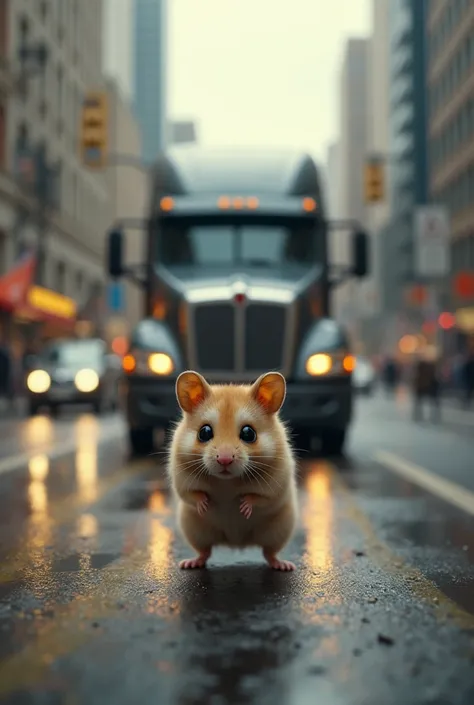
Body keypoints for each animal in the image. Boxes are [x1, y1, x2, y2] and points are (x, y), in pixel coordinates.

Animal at [168, 372, 298, 568]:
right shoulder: (182, 481)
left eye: (248, 433)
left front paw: (244, 506)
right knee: (205, 551)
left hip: (278, 529)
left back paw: (283, 565)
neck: (226, 481)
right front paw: (204, 505)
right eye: (204, 432)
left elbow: (260, 497)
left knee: (269, 552)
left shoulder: (274, 485)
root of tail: (236, 543)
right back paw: (189, 563)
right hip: (195, 530)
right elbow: (193, 494)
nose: (225, 459)